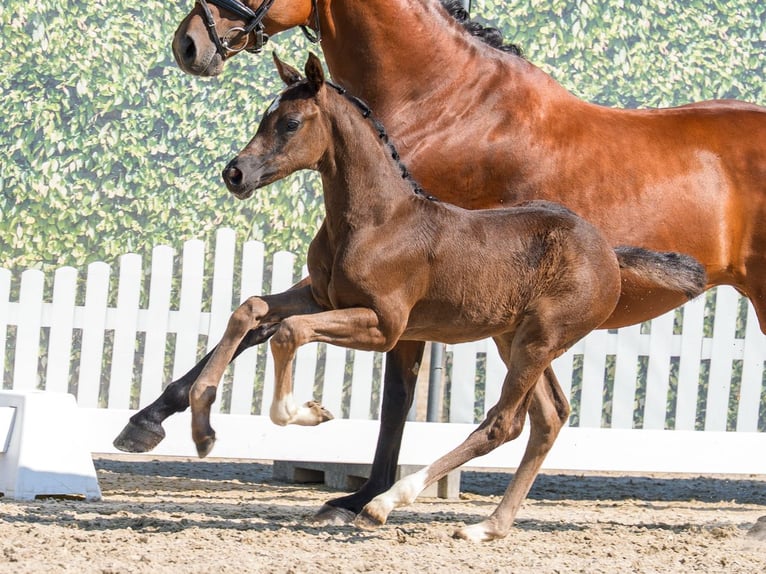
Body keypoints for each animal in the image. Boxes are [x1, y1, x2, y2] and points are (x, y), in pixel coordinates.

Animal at [115, 0, 766, 525]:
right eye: (261, 120)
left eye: (291, 122)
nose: (188, 44)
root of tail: (608, 249)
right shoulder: (329, 294)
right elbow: (252, 313)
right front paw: (187, 424)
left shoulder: (389, 320)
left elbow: (350, 369)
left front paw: (336, 462)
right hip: (519, 335)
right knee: (546, 417)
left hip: (551, 334)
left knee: (510, 419)